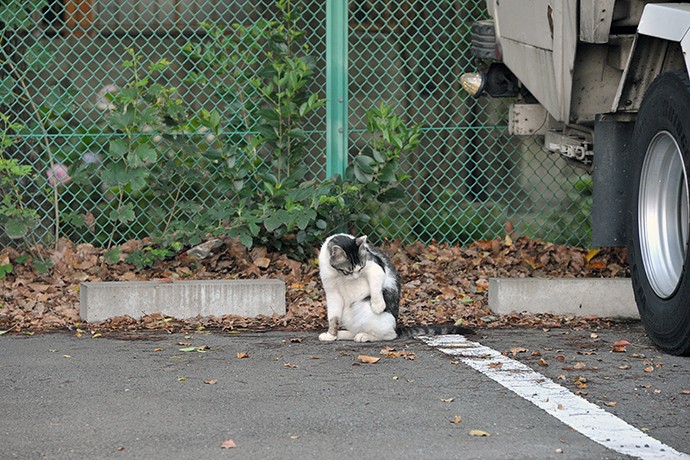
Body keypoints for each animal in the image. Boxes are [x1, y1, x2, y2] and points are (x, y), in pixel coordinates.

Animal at [318, 234, 472, 342]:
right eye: (348, 271)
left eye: (361, 267)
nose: (355, 277)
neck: (339, 275)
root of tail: (396, 327)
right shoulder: (332, 292)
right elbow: (333, 317)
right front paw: (331, 335)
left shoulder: (375, 267)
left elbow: (375, 286)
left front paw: (378, 305)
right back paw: (344, 334)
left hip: (364, 307)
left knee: (389, 335)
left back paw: (365, 336)